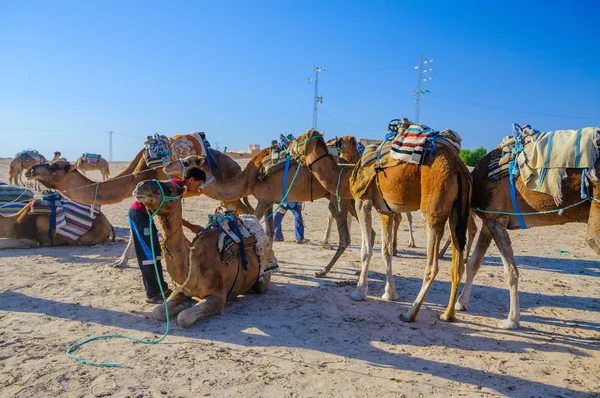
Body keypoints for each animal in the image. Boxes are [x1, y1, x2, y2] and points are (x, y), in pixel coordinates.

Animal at [135, 179, 274, 328]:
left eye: (170, 190)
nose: (141, 185)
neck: (193, 266)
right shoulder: (181, 289)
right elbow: (158, 311)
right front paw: (184, 304)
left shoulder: (218, 296)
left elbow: (184, 318)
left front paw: (185, 307)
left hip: (262, 280)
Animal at [290, 126, 474, 324]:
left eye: (299, 139)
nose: (290, 145)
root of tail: (460, 170)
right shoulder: (385, 210)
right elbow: (386, 252)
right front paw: (390, 293)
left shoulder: (362, 201)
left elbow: (366, 249)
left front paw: (359, 292)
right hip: (457, 212)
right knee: (458, 264)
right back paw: (448, 314)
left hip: (434, 211)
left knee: (432, 266)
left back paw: (410, 313)